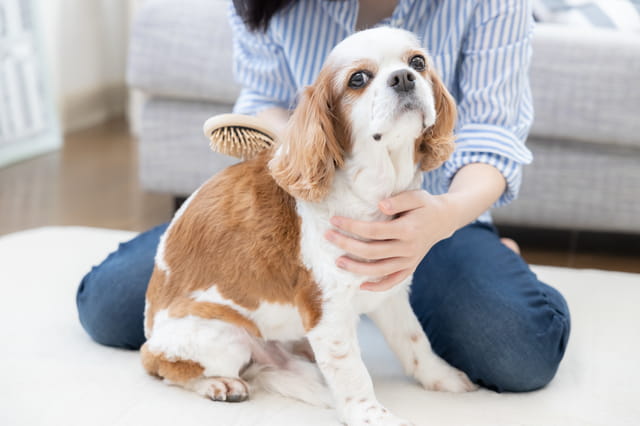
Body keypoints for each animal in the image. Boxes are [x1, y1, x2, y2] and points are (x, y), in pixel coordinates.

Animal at [141, 27, 476, 426]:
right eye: (357, 79)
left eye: (418, 62)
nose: (404, 78)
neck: (369, 190)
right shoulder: (326, 311)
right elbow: (353, 372)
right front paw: (370, 414)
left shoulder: (388, 290)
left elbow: (414, 341)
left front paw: (441, 377)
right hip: (222, 334)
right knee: (162, 366)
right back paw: (218, 384)